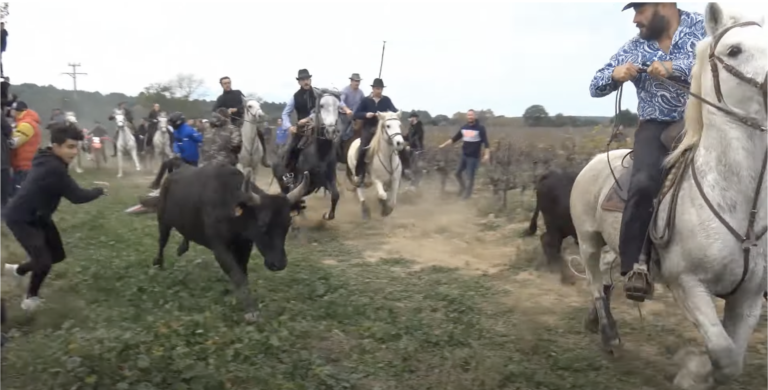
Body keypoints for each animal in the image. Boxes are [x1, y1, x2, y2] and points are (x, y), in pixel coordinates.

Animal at [153, 163, 308, 322]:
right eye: (262, 224)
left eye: (288, 223)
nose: (279, 264)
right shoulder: (219, 248)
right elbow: (237, 275)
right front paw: (251, 310)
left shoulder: (245, 245)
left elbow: (242, 272)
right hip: (163, 221)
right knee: (162, 242)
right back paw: (159, 263)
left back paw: (182, 248)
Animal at [568, 2, 764, 386]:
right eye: (734, 50)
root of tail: (595, 162)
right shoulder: (688, 285)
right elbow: (721, 353)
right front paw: (692, 371)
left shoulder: (749, 297)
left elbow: (732, 360)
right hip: (587, 240)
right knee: (596, 282)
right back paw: (608, 334)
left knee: (610, 272)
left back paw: (594, 321)